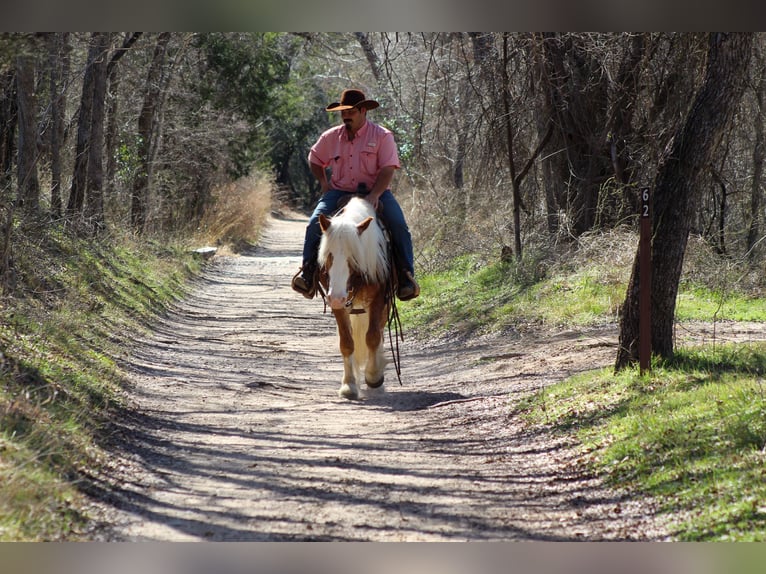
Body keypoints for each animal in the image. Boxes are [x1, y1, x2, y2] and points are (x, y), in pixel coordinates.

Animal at [318, 198, 392, 400]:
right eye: (329, 255)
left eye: (353, 257)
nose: (336, 297)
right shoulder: (339, 305)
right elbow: (347, 343)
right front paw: (349, 385)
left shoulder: (378, 300)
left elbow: (372, 337)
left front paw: (374, 378)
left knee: (379, 331)